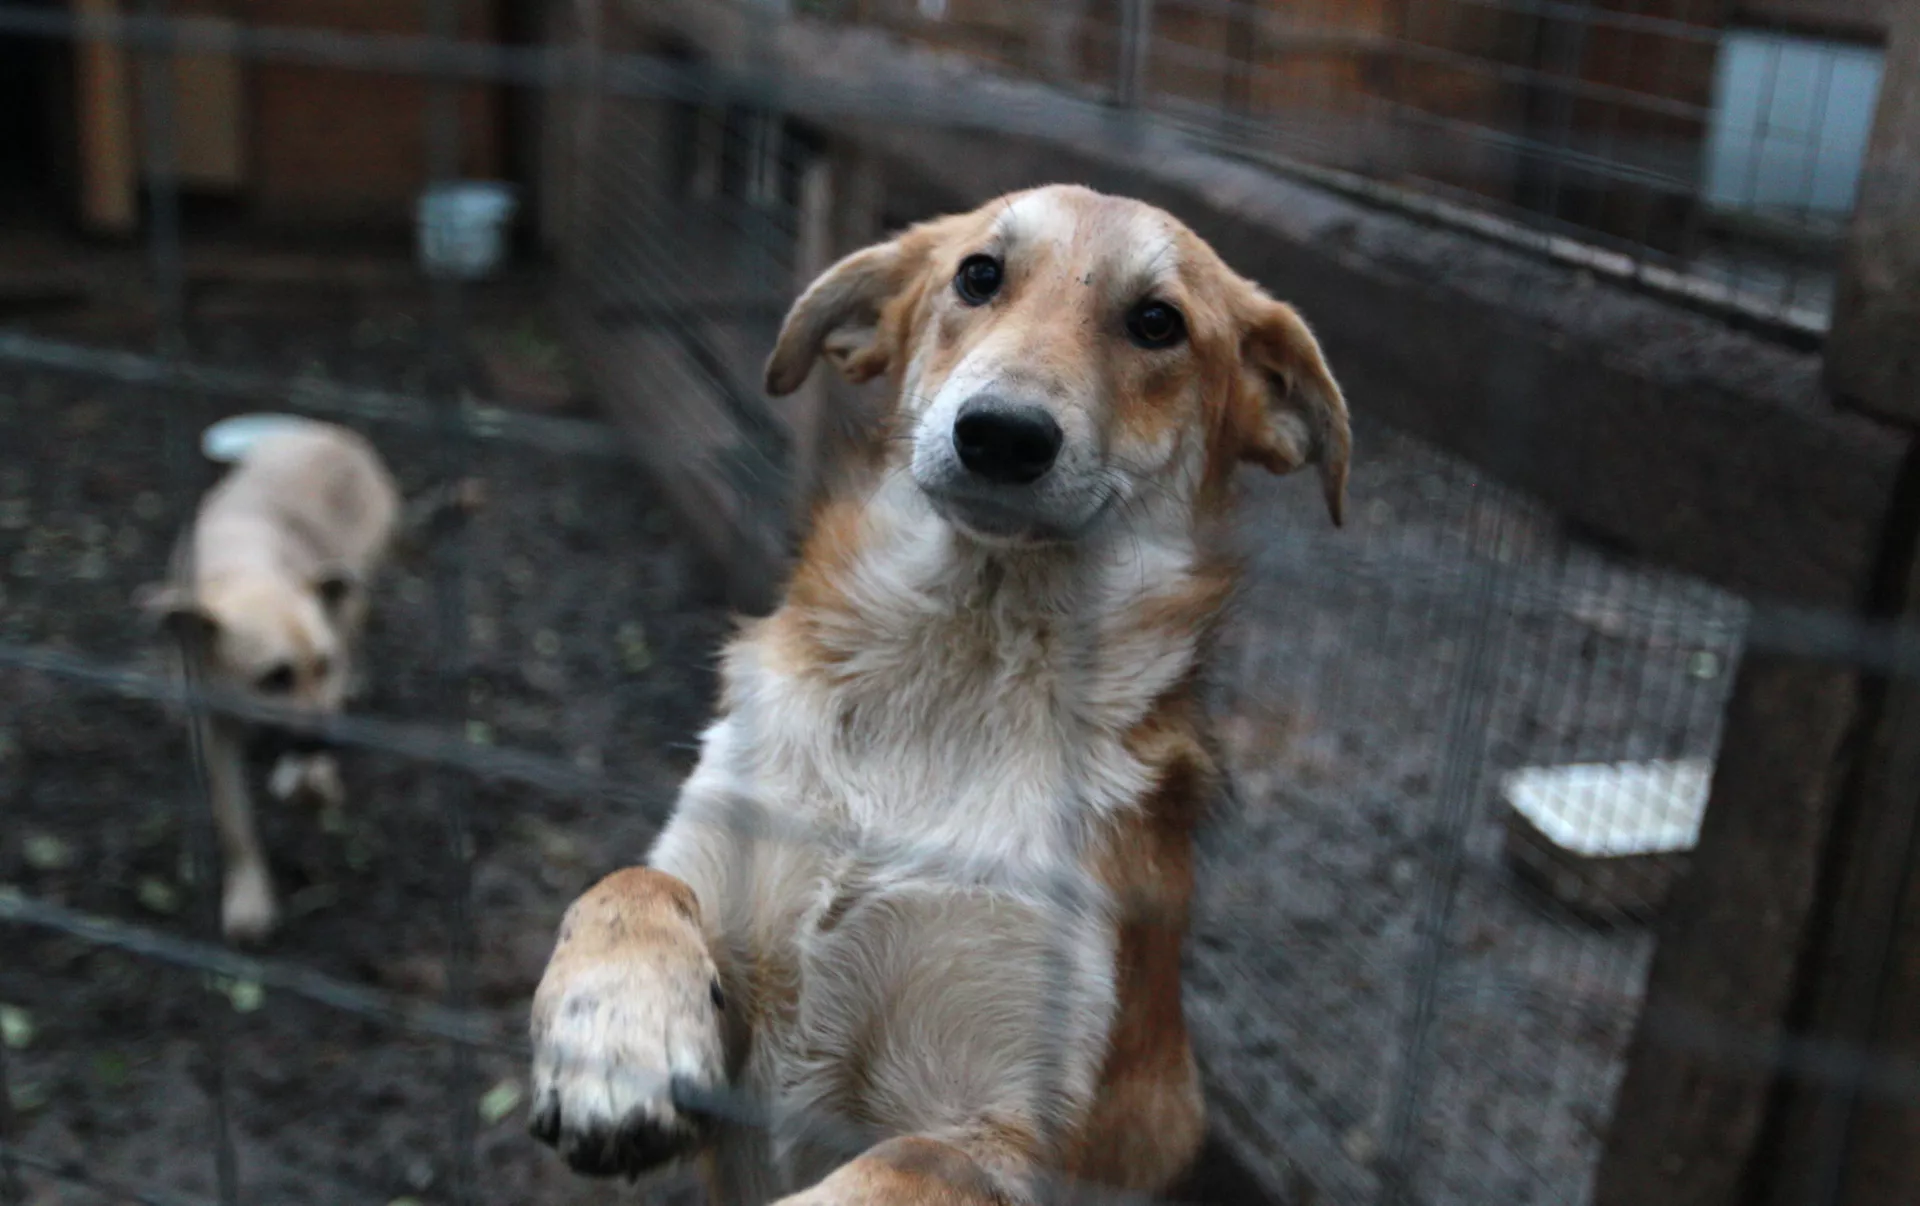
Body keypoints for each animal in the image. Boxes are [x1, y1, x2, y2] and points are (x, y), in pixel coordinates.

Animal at [136, 417, 400, 943]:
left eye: (322, 664)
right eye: (274, 678)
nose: (332, 744)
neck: (244, 569)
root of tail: (336, 436)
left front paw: (310, 778)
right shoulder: (213, 728)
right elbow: (234, 821)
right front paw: (248, 898)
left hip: (355, 588)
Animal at [527, 184, 1350, 1204]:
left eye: (1159, 322)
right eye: (978, 274)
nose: (1003, 432)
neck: (954, 677)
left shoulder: (1006, 1130)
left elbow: (904, 1163)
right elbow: (631, 884)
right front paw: (613, 1041)